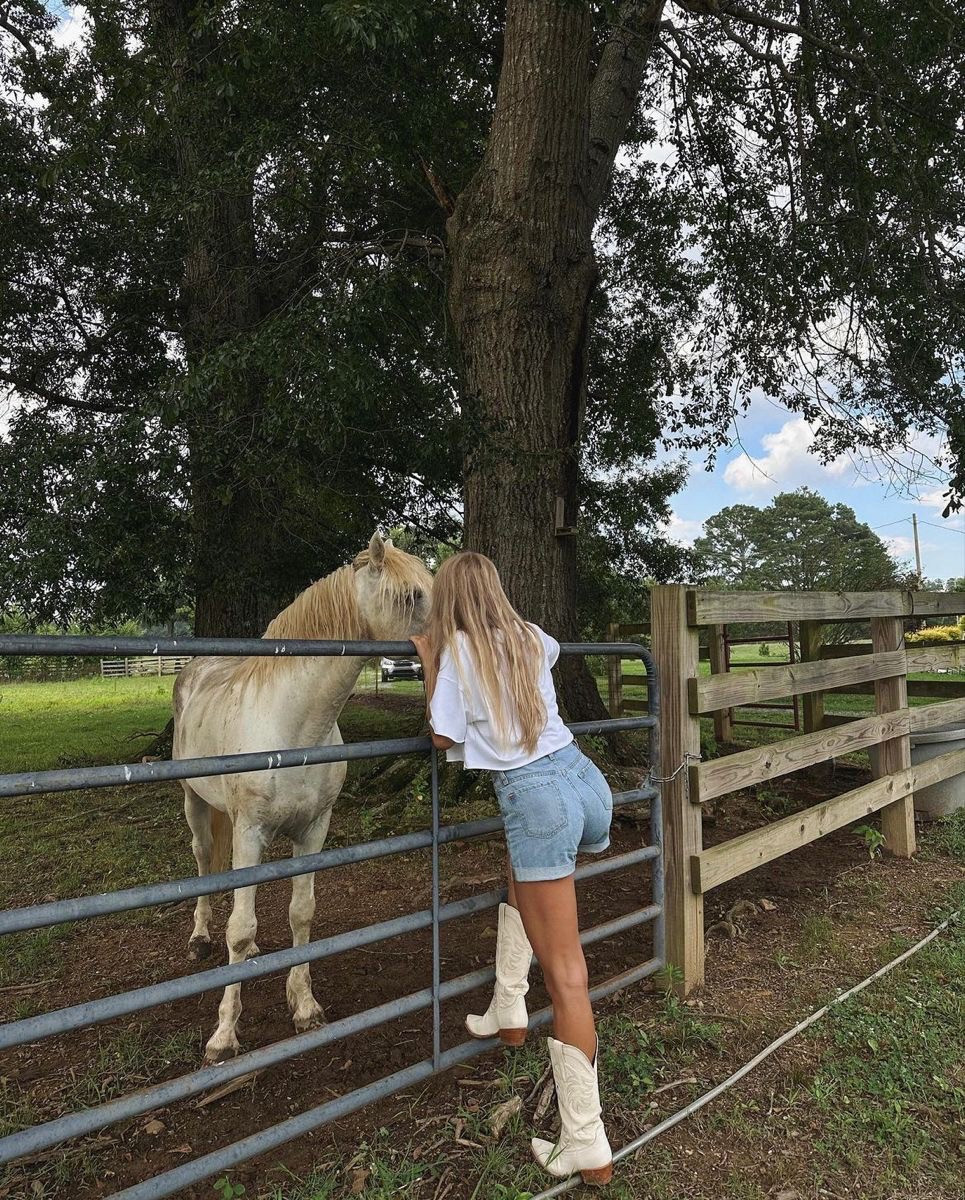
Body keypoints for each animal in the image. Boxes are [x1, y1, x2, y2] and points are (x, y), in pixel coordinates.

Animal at [172, 533, 433, 1061]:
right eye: (412, 595)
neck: (293, 724)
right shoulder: (250, 832)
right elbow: (240, 927)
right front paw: (223, 1036)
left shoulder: (313, 830)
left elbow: (301, 914)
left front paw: (305, 1005)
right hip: (196, 803)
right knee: (205, 862)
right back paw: (200, 939)